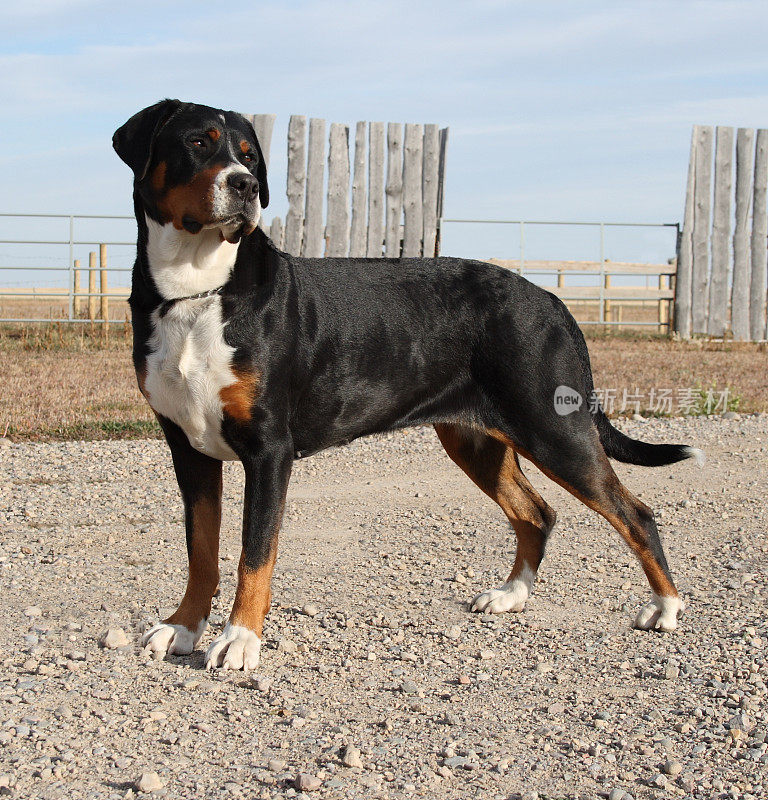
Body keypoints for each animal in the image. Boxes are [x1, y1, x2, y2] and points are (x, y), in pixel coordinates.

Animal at [112, 100, 704, 672]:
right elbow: (201, 550)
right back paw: (511, 594)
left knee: (635, 513)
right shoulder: (188, 448)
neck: (197, 291)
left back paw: (665, 607)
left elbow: (254, 553)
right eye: (197, 142)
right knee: (537, 513)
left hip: (554, 430)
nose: (245, 186)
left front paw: (239, 640)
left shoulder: (268, 450)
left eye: (249, 155)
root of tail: (550, 299)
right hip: (477, 440)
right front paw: (183, 627)